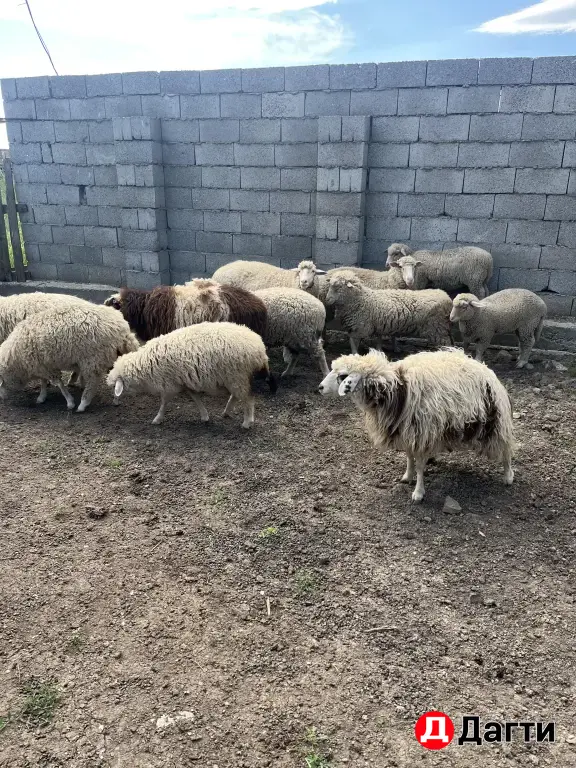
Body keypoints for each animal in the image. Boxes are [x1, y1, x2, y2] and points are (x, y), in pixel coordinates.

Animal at [0, 304, 139, 412]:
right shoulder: (42, 365)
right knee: (118, 375)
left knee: (93, 382)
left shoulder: (46, 367)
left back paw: (83, 404)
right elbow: (43, 382)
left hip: (92, 359)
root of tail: (123, 329)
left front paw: (70, 402)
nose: (2, 398)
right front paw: (42, 397)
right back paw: (116, 399)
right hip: (112, 356)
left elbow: (59, 384)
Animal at [107, 321, 276, 429]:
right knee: (236, 396)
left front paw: (157, 419)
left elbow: (164, 403)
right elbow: (196, 398)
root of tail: (260, 348)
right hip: (234, 378)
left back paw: (247, 422)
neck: (146, 364)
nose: (114, 402)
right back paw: (226, 412)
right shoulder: (185, 382)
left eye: (115, 386)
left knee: (248, 399)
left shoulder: (170, 385)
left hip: (238, 376)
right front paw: (205, 416)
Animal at [318, 347, 516, 502]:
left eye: (343, 376)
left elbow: (420, 465)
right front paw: (407, 476)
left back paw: (508, 476)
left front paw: (418, 492)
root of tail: (487, 370)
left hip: (497, 422)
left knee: (506, 449)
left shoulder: (421, 433)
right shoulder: (406, 431)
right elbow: (408, 457)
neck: (395, 388)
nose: (319, 388)